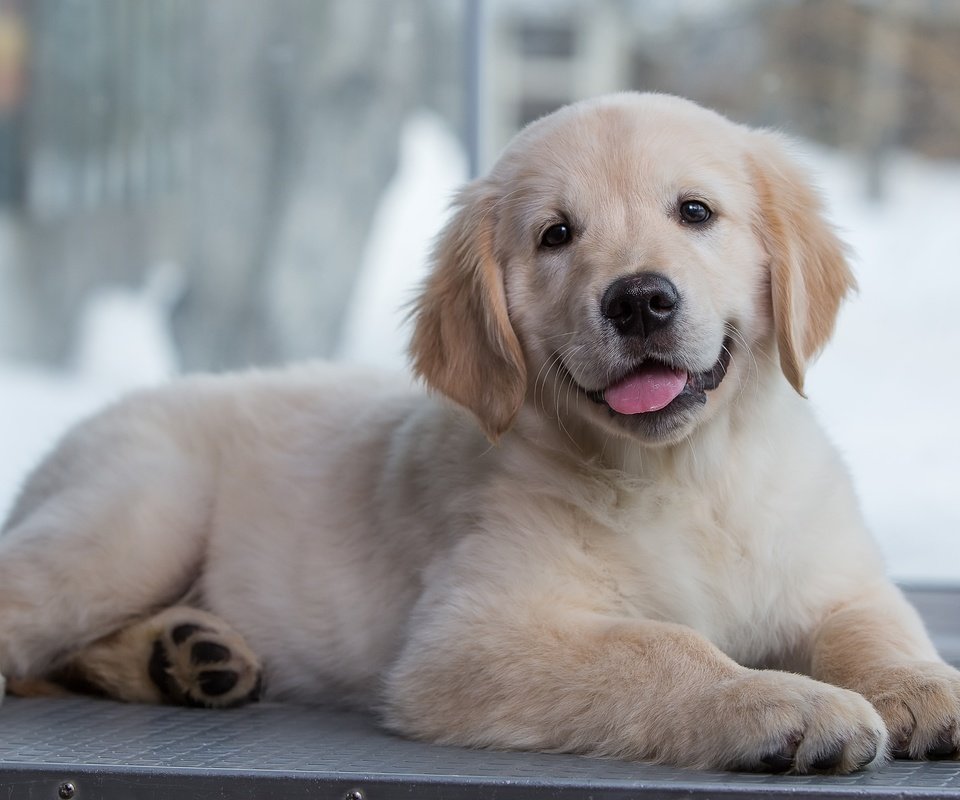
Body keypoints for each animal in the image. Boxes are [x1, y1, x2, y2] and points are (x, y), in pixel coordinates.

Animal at [1, 94, 960, 776]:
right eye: (556, 236)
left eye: (695, 212)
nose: (639, 300)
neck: (683, 472)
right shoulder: (471, 639)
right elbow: (661, 648)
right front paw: (786, 705)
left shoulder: (835, 576)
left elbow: (876, 628)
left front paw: (926, 688)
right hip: (135, 516)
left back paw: (186, 658)